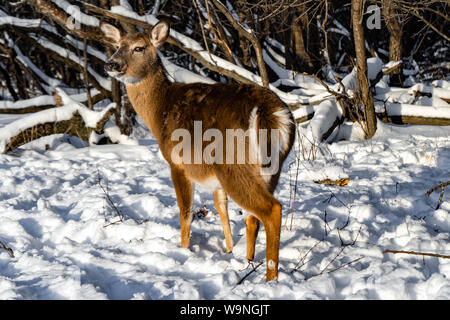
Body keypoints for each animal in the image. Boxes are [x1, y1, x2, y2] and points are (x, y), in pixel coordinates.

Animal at [101, 18, 296, 282]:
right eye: (117, 45)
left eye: (139, 47)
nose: (111, 63)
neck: (159, 113)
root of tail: (270, 114)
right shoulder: (214, 178)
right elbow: (221, 209)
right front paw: (229, 250)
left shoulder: (177, 162)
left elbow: (185, 211)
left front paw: (183, 249)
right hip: (269, 170)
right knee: (252, 217)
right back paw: (248, 262)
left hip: (234, 166)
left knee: (271, 209)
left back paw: (270, 278)